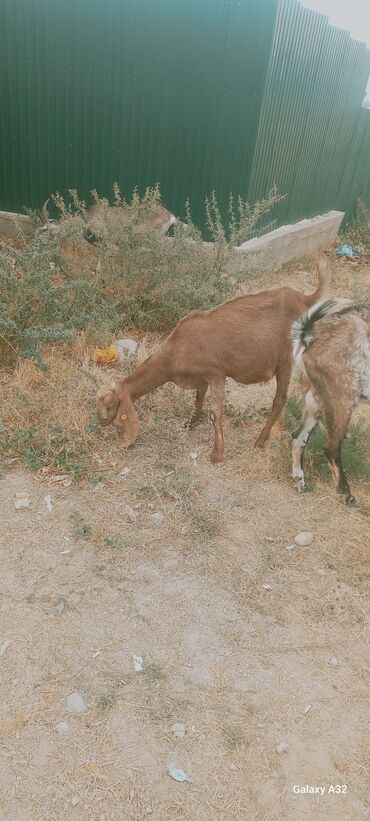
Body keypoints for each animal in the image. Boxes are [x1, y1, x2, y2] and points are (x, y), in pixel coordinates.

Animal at [97, 253, 330, 464]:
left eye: (110, 406)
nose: (101, 423)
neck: (173, 354)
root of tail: (305, 299)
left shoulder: (217, 373)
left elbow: (215, 412)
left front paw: (217, 455)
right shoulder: (201, 378)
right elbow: (198, 400)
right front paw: (190, 424)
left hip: (286, 360)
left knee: (280, 399)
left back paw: (261, 440)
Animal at [292, 298, 370, 502]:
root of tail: (309, 337)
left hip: (316, 398)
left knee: (298, 436)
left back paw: (300, 482)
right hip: (343, 396)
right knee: (331, 447)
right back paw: (346, 494)